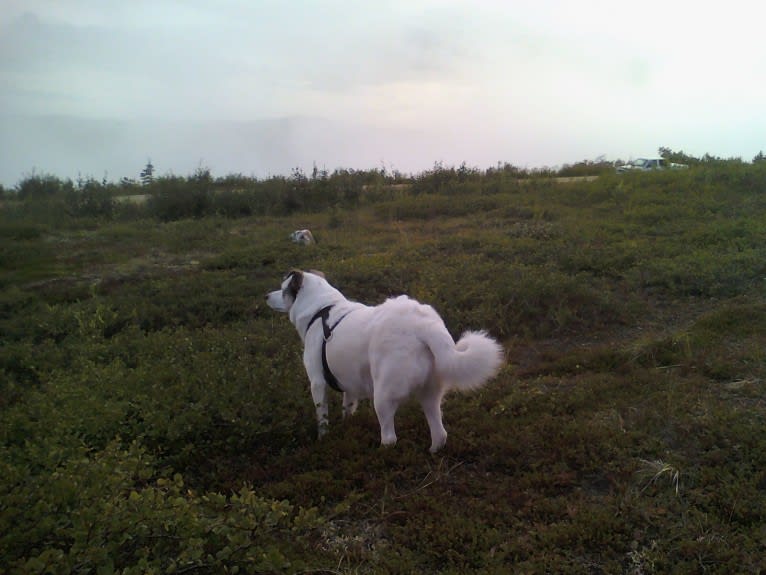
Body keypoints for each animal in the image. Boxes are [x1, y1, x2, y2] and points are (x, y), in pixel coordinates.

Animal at [268, 270, 508, 454]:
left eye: (282, 289)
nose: (266, 295)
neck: (321, 309)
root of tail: (425, 326)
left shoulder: (317, 383)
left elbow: (322, 417)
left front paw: (323, 438)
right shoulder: (350, 385)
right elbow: (348, 409)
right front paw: (348, 427)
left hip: (382, 396)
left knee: (390, 437)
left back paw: (381, 454)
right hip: (430, 395)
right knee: (440, 433)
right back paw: (432, 452)